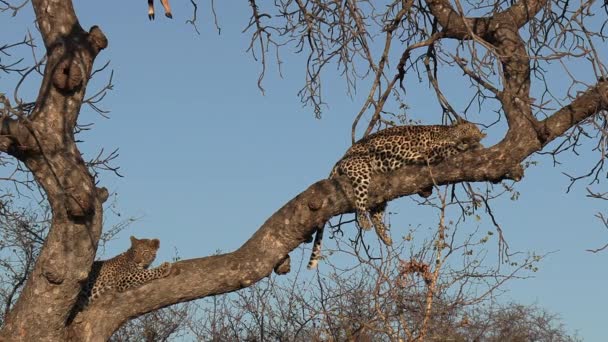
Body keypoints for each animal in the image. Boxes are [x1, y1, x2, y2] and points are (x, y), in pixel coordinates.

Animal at [306, 119, 486, 268]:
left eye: (475, 135)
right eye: (465, 131)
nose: (468, 141)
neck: (446, 131)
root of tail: (341, 159)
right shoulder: (430, 149)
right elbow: (449, 148)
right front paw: (474, 148)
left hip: (379, 196)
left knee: (375, 214)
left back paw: (385, 237)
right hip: (361, 170)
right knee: (360, 203)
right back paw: (364, 222)